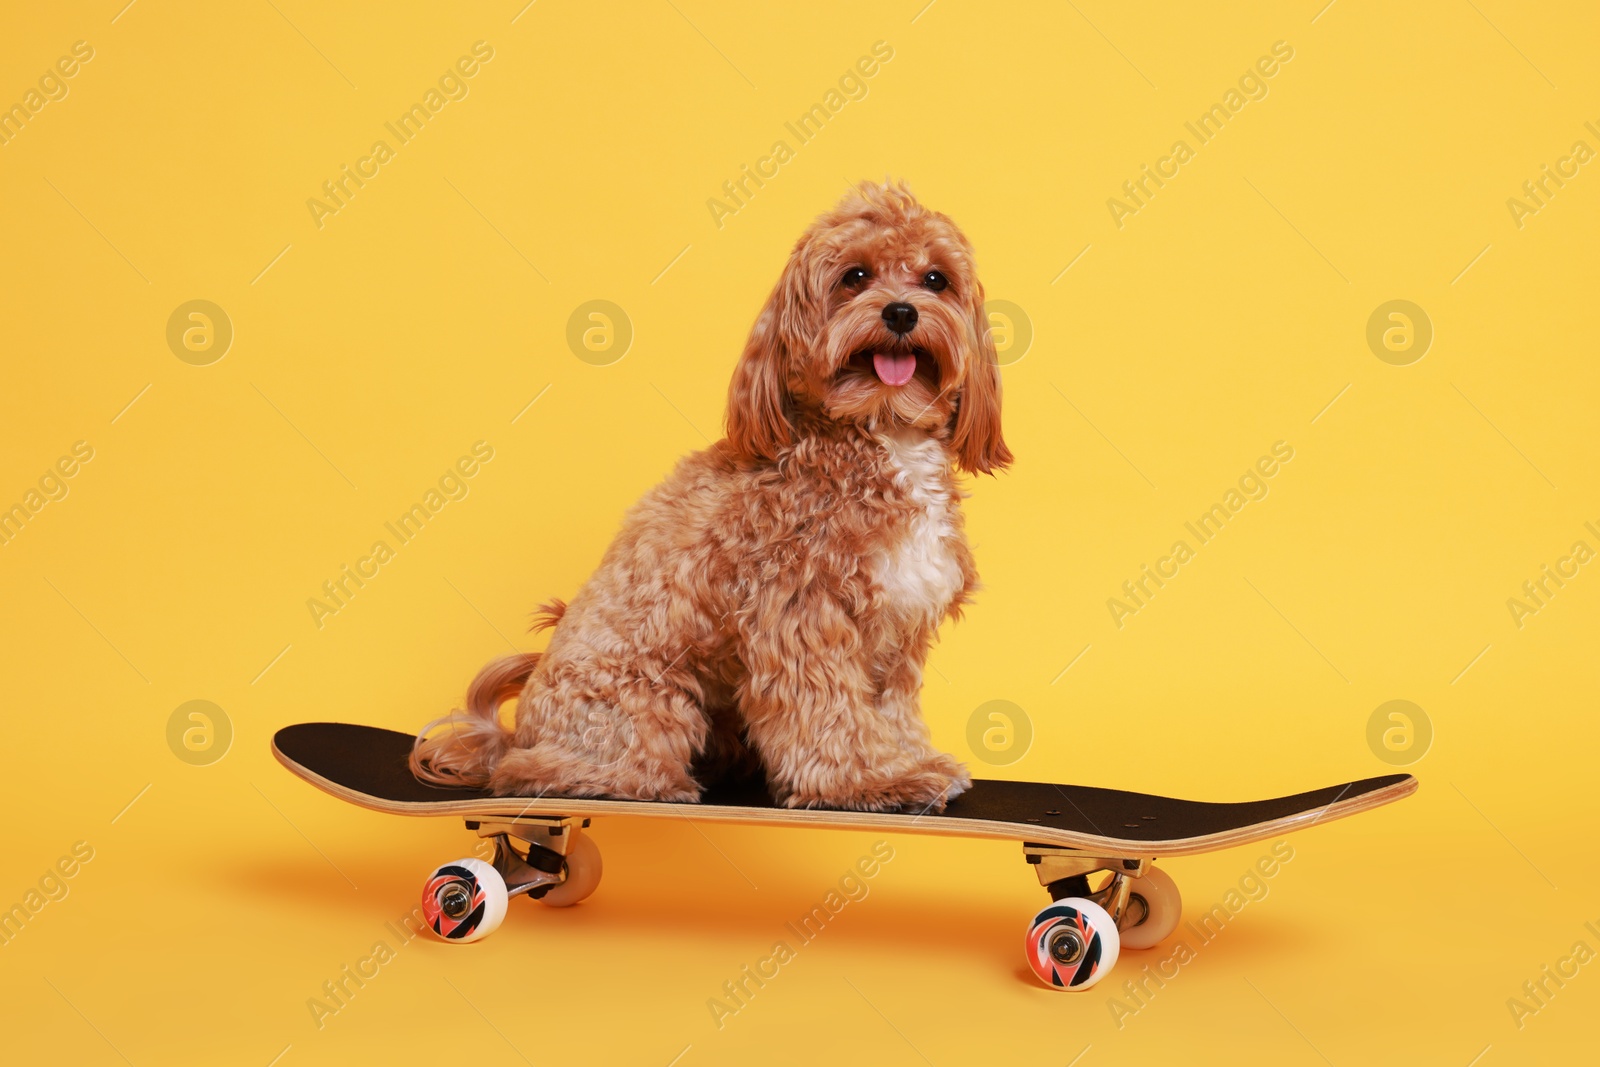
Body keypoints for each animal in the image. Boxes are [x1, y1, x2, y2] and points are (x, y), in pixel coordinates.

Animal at [412, 181, 1011, 809]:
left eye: (936, 280)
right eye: (855, 276)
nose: (900, 311)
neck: (882, 434)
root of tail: (514, 732)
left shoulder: (899, 626)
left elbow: (891, 708)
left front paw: (907, 761)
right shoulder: (799, 613)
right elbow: (827, 711)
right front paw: (866, 781)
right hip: (646, 703)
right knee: (541, 771)